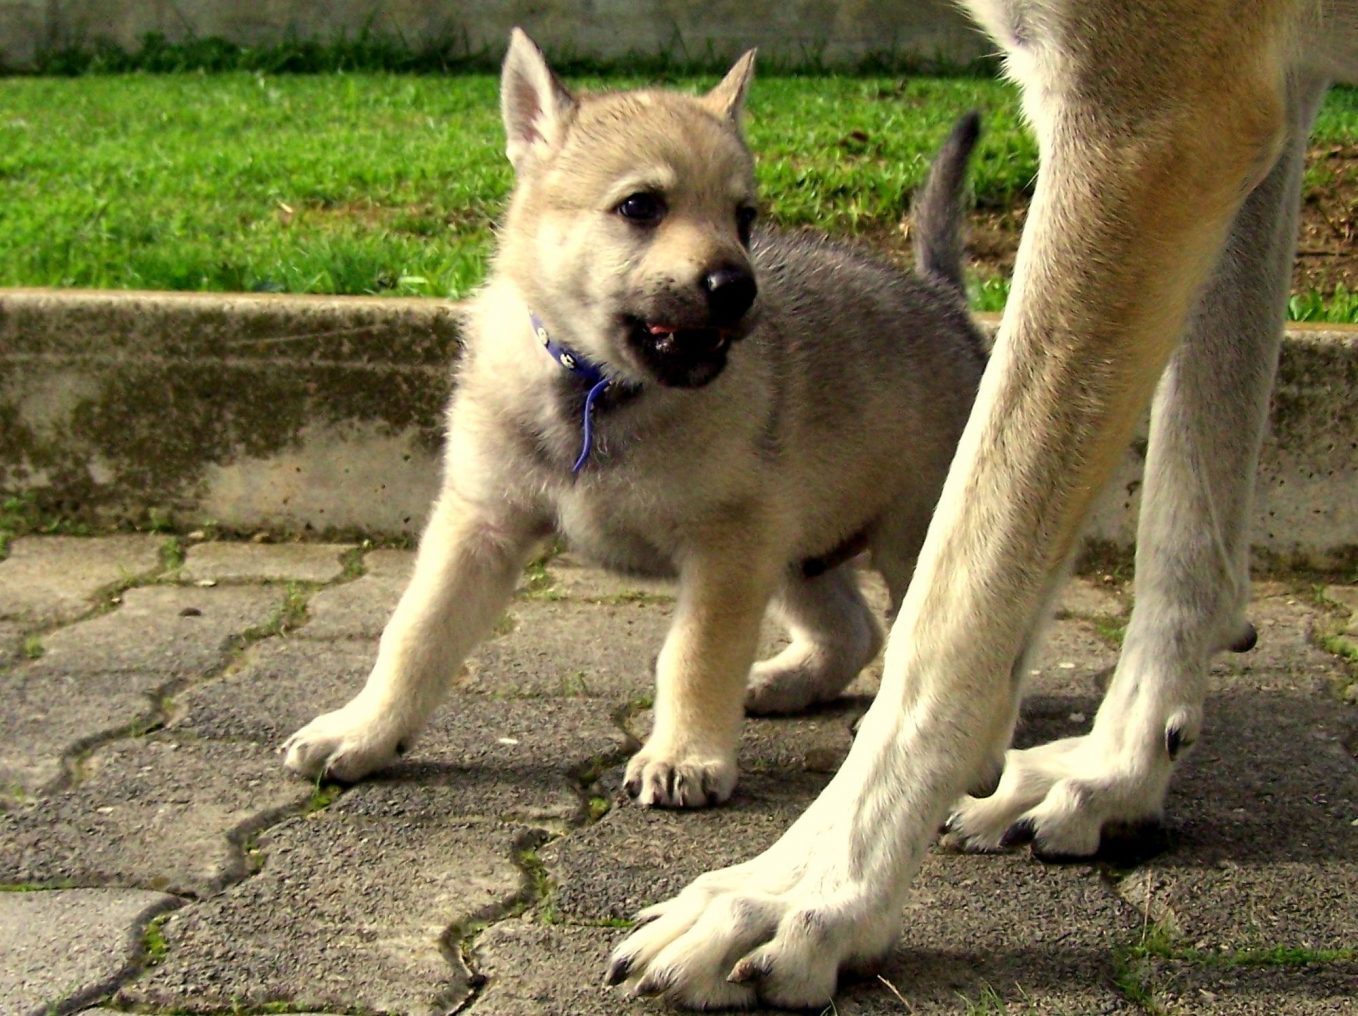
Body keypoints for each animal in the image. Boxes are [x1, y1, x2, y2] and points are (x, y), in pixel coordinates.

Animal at [282, 31, 987, 810]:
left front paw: (685, 754)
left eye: (744, 218)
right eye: (641, 206)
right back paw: (786, 681)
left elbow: (694, 655)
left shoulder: (727, 550)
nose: (738, 288)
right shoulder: (480, 526)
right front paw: (365, 730)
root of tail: (942, 299)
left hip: (906, 540)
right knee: (853, 630)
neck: (597, 387)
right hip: (798, 546)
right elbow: (415, 632)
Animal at [604, 0, 1358, 1008]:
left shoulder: (1152, 119)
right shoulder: (1266, 101)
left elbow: (955, 606)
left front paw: (806, 890)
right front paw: (1117, 770)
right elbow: (1187, 512)